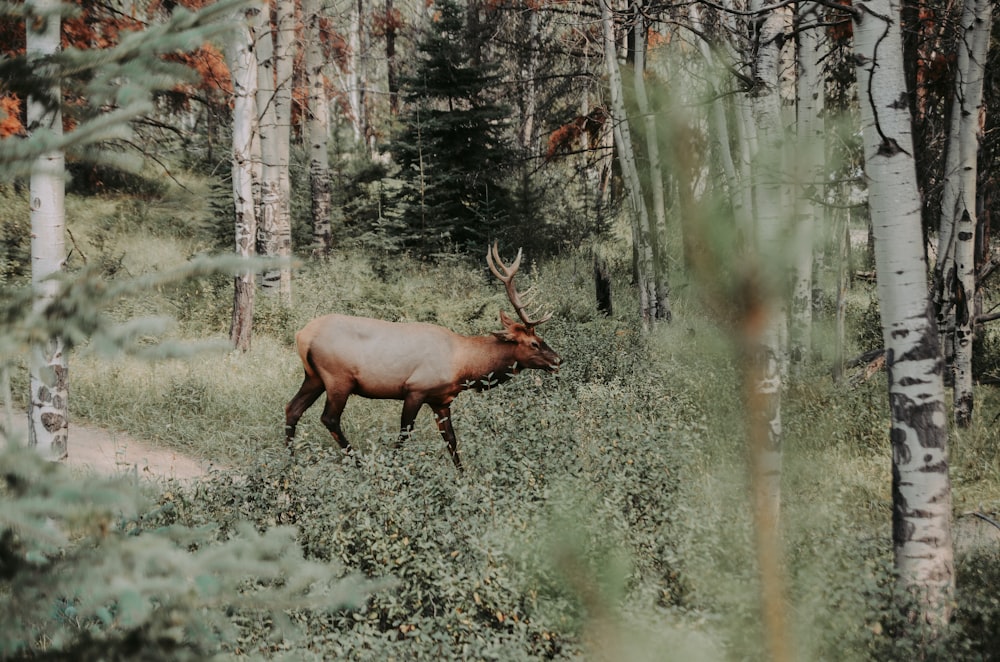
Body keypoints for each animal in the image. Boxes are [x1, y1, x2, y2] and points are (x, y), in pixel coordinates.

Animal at [284, 245, 564, 472]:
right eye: (534, 343)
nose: (558, 360)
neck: (464, 367)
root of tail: (302, 335)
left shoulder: (441, 400)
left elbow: (451, 441)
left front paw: (464, 476)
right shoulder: (415, 389)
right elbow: (404, 434)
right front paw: (393, 469)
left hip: (314, 377)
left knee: (292, 408)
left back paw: (289, 466)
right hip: (338, 378)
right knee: (329, 418)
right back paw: (359, 464)